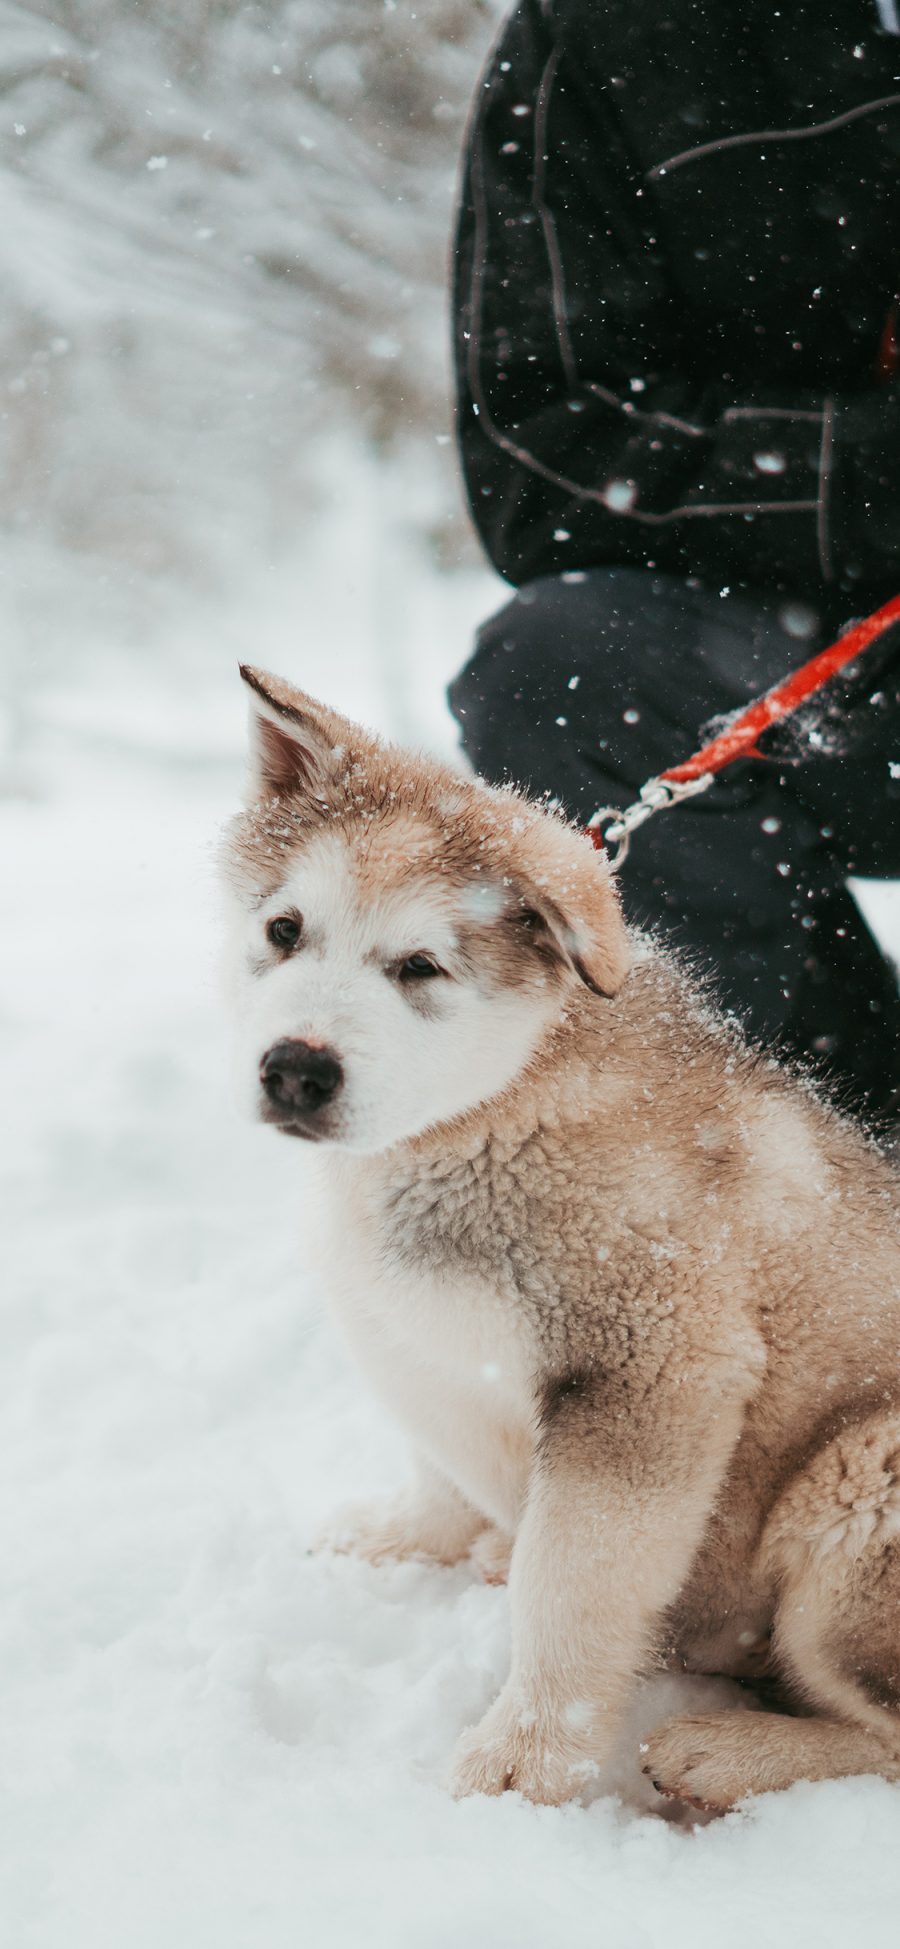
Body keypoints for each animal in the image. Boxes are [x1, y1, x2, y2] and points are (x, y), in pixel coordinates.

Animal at [223, 670, 900, 1808]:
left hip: (858, 1481)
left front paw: (524, 1758)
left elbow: (569, 1580)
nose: (295, 1069)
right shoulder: (417, 1338)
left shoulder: (652, 1361)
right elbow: (436, 1461)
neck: (489, 1111)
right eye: (284, 928)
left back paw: (726, 1749)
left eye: (421, 965)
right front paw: (406, 1536)